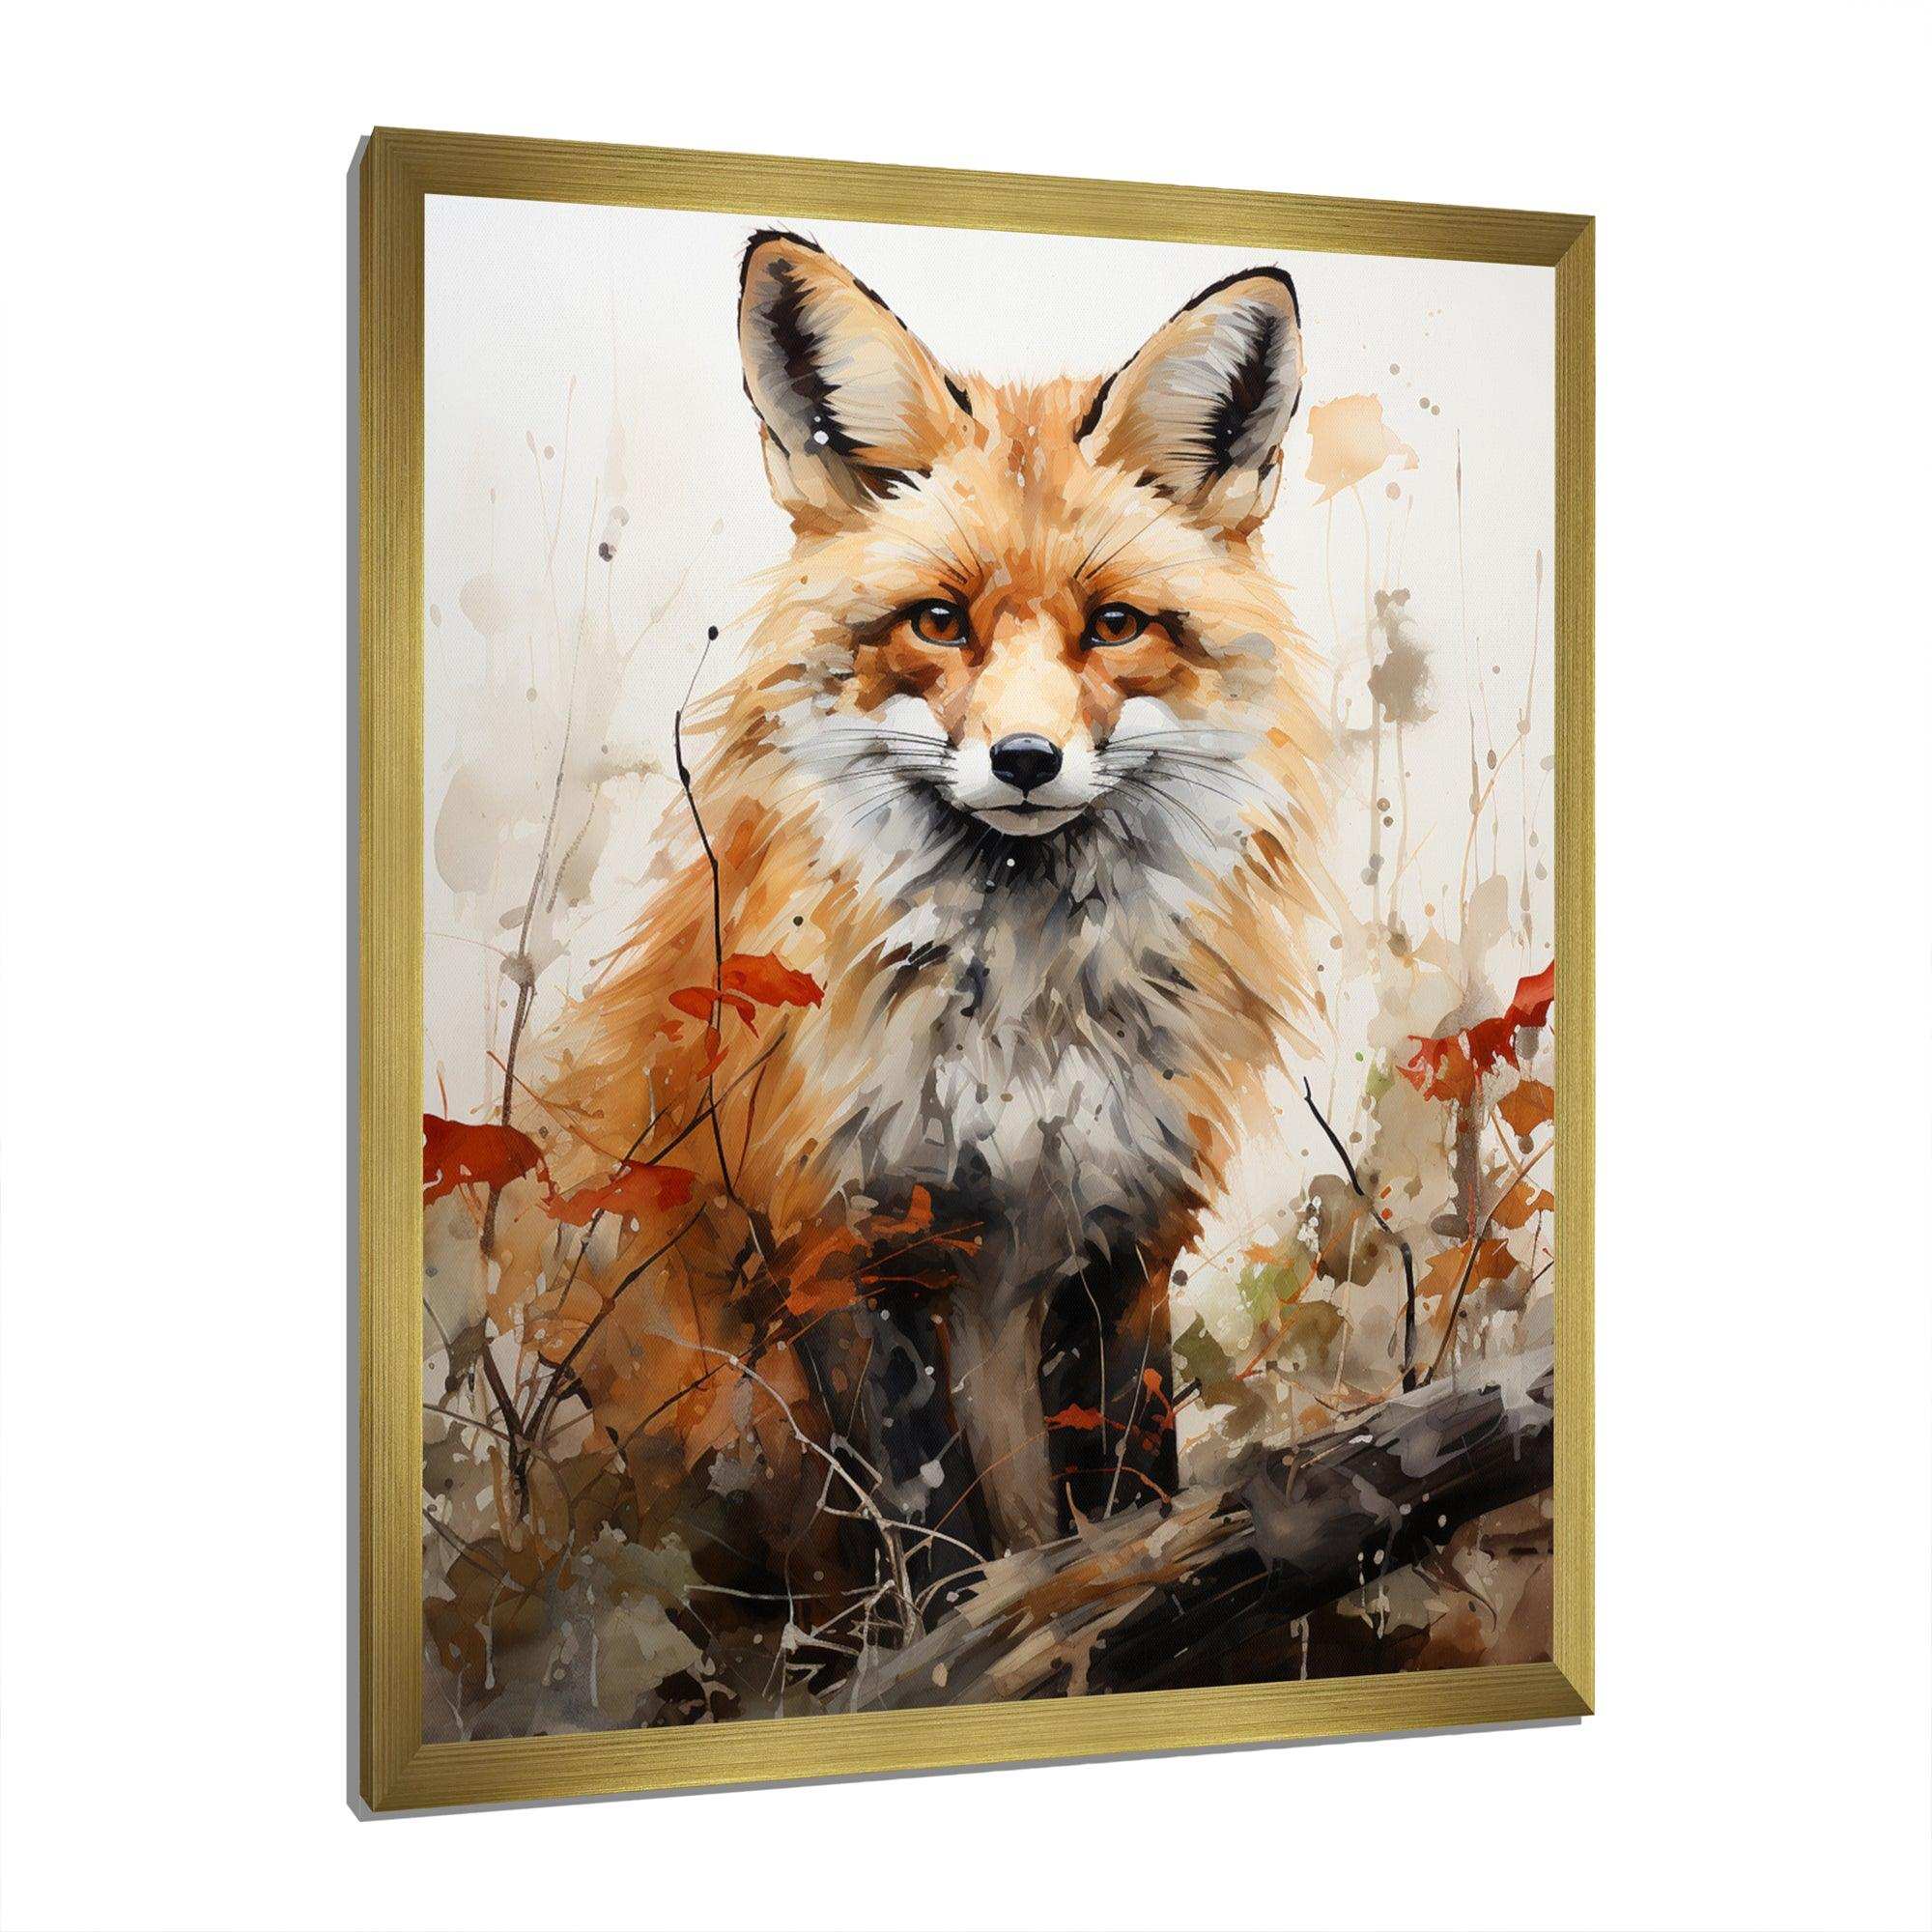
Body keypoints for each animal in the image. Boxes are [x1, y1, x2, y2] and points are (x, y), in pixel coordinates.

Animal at [518, 231, 1329, 1599]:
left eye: (1115, 624)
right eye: (939, 622)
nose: (1024, 759)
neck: (1022, 1024)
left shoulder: (1123, 1232)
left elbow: (1127, 1488)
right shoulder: (844, 1242)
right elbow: (927, 1532)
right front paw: (957, 1634)